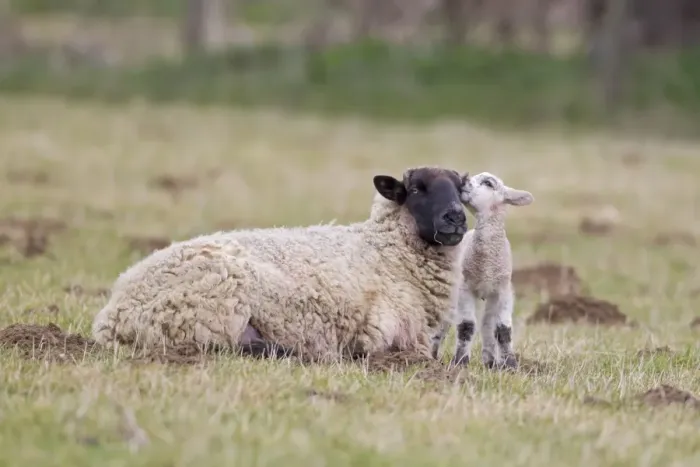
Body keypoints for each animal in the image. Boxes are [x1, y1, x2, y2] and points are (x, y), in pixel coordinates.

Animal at [92, 166, 471, 361]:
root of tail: (113, 316)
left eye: (460, 190)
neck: (383, 251)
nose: (455, 217)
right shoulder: (387, 333)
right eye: (417, 189)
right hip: (213, 313)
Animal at [431, 171, 534, 369]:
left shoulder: (503, 289)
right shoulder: (465, 288)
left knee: (487, 324)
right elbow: (466, 326)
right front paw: (460, 362)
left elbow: (502, 329)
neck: (486, 265)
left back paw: (490, 361)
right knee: (442, 324)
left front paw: (510, 365)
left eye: (488, 183)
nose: (463, 179)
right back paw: (431, 356)